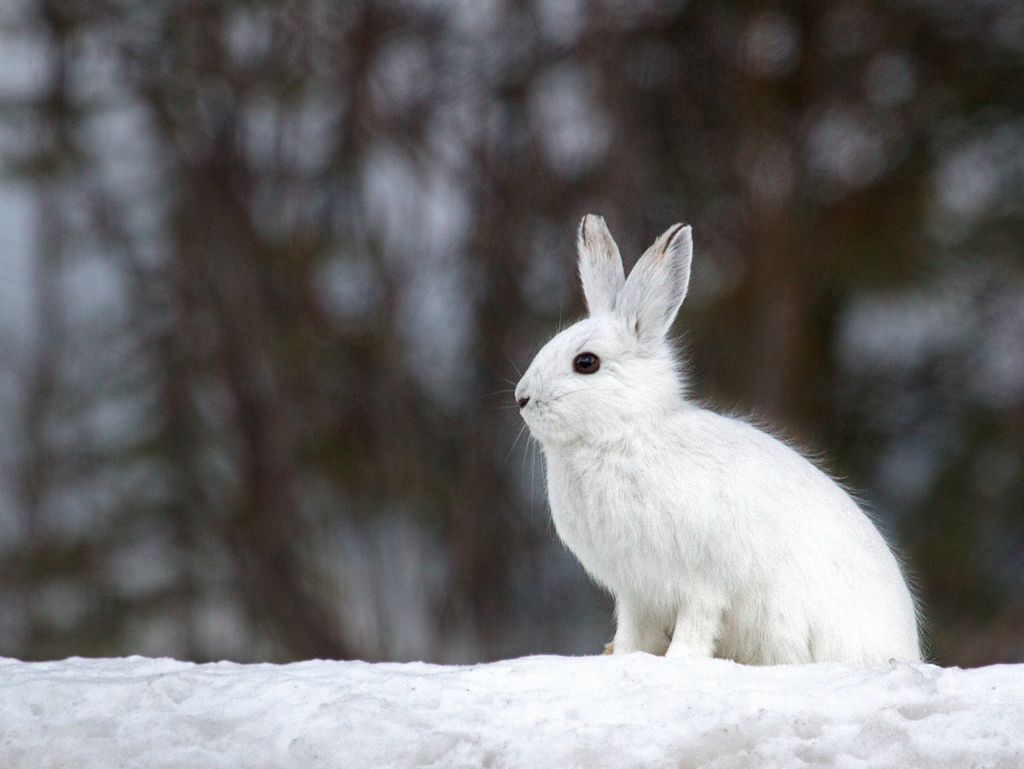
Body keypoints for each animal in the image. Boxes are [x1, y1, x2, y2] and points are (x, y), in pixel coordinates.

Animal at [514, 215, 922, 665]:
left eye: (586, 363)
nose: (521, 398)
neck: (622, 434)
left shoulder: (700, 583)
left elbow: (697, 624)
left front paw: (678, 661)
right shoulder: (637, 593)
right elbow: (633, 634)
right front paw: (623, 656)